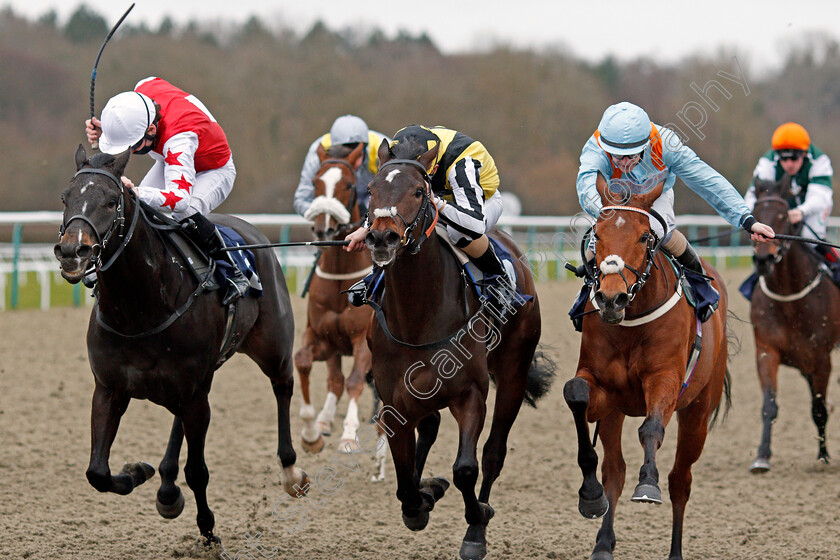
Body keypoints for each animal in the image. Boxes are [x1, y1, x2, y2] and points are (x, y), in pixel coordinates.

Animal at [53, 147, 308, 544]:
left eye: (111, 201)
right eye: (66, 198)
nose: (72, 252)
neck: (139, 310)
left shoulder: (194, 397)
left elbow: (198, 471)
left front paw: (208, 529)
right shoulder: (109, 388)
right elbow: (97, 472)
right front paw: (138, 471)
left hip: (273, 347)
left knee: (283, 386)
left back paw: (290, 470)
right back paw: (167, 486)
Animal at [294, 143, 376, 450]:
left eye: (348, 184)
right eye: (316, 181)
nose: (323, 228)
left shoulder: (363, 340)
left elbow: (354, 381)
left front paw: (349, 434)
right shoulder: (323, 337)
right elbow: (304, 361)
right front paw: (312, 431)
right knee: (335, 379)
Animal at [364, 137, 556, 560]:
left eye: (418, 192)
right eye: (371, 189)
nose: (382, 238)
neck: (417, 315)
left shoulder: (471, 394)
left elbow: (466, 468)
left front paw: (476, 524)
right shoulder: (392, 400)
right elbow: (404, 481)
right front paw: (422, 500)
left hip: (513, 372)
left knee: (494, 451)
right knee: (430, 428)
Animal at [560, 175, 732, 560]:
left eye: (643, 236)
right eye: (597, 234)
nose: (611, 298)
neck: (632, 321)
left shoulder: (665, 380)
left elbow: (652, 428)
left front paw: (648, 484)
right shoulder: (604, 391)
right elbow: (575, 393)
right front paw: (589, 496)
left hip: (698, 411)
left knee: (681, 480)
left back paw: (675, 550)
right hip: (616, 413)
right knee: (615, 471)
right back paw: (603, 542)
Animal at [748, 175, 840, 472]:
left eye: (782, 216)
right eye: (756, 211)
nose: (763, 259)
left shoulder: (822, 358)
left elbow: (819, 409)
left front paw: (823, 456)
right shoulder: (766, 351)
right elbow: (769, 406)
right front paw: (762, 455)